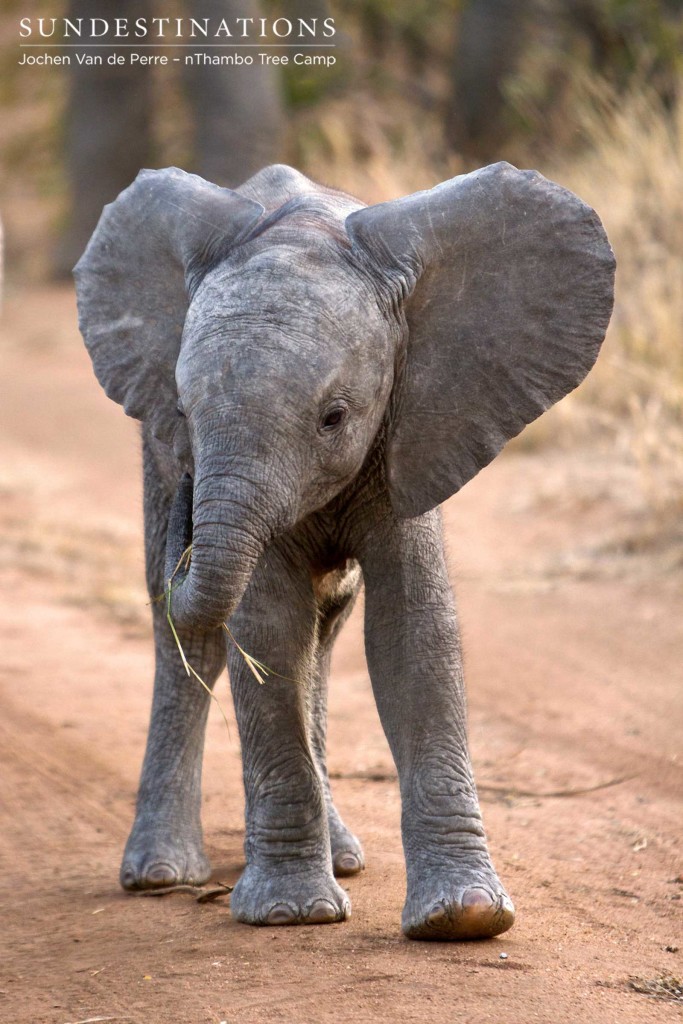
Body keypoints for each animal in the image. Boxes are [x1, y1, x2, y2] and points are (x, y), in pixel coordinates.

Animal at [74, 159, 614, 937]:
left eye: (335, 417)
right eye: (184, 410)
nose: (191, 496)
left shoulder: (415, 420)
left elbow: (412, 631)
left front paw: (464, 920)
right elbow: (265, 628)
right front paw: (292, 915)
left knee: (323, 632)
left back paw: (345, 857)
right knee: (191, 636)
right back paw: (160, 874)